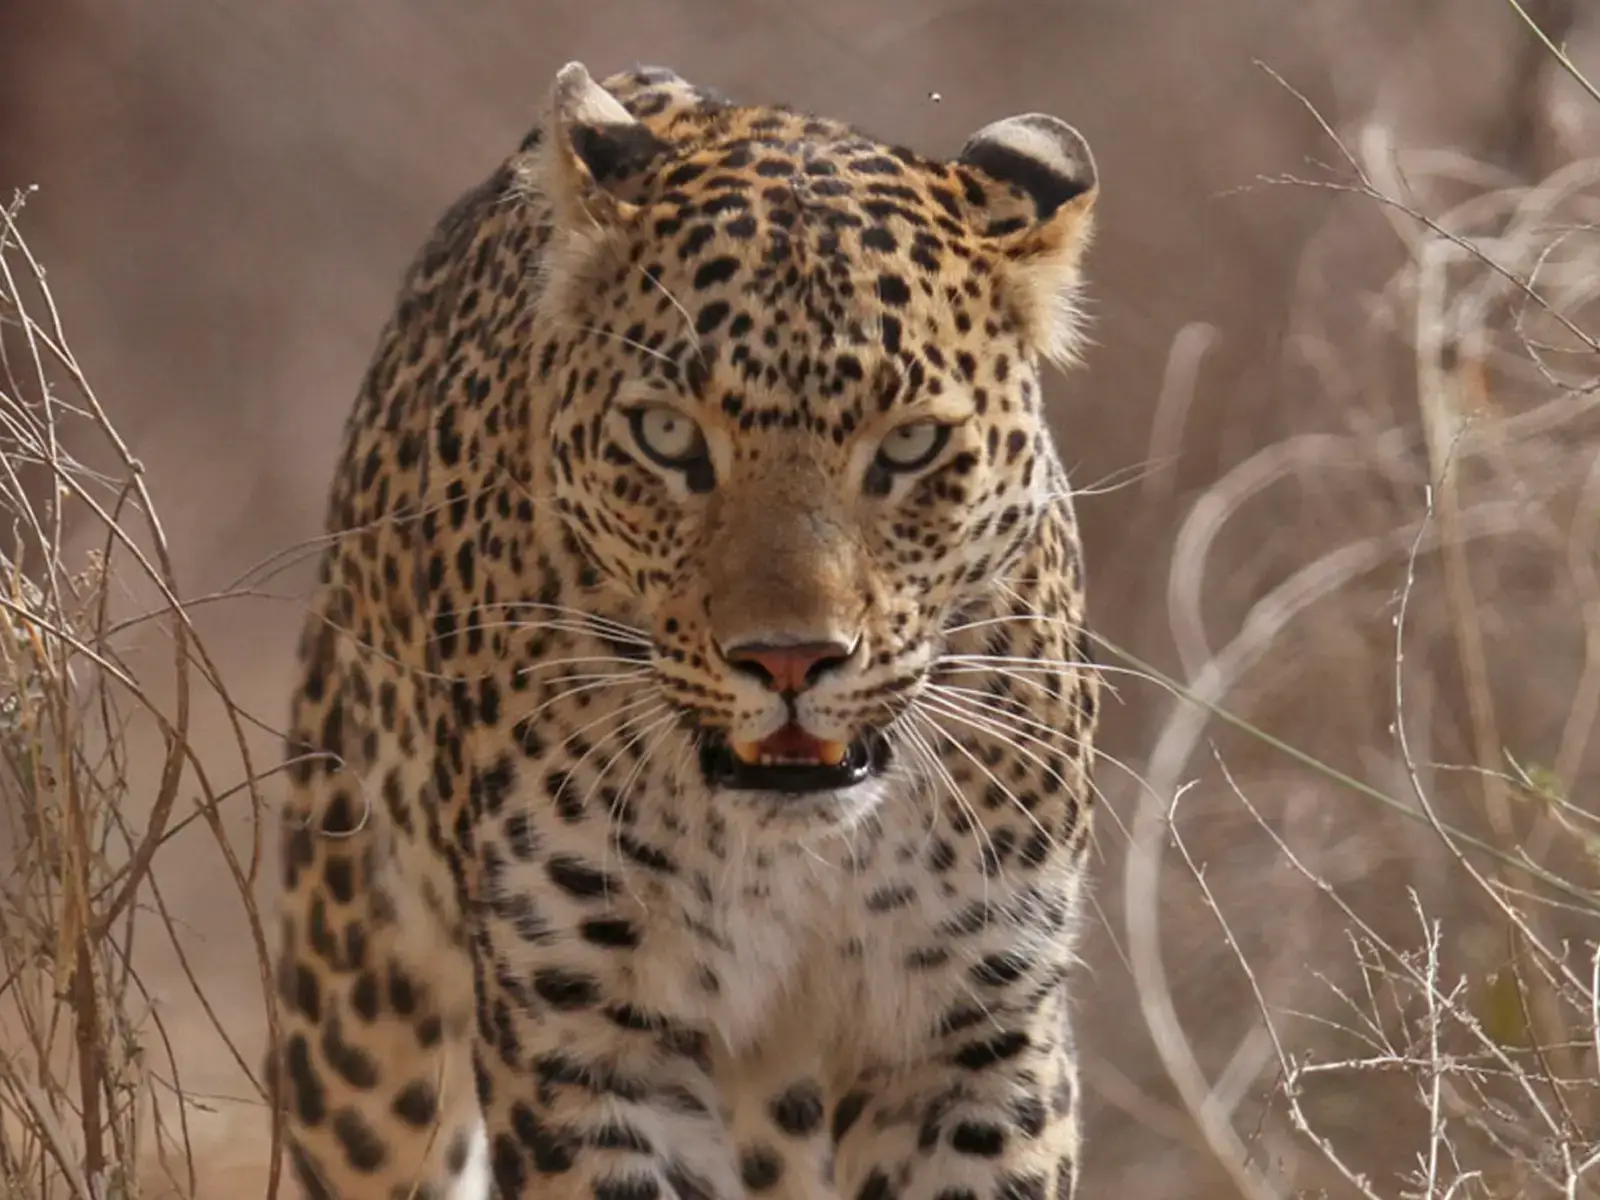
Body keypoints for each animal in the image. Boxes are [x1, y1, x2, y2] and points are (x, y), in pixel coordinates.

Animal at [272, 61, 1100, 1200]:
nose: (790, 659)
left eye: (910, 447)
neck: (793, 858)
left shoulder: (972, 1032)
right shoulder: (591, 1032)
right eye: (666, 436)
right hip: (357, 1007)